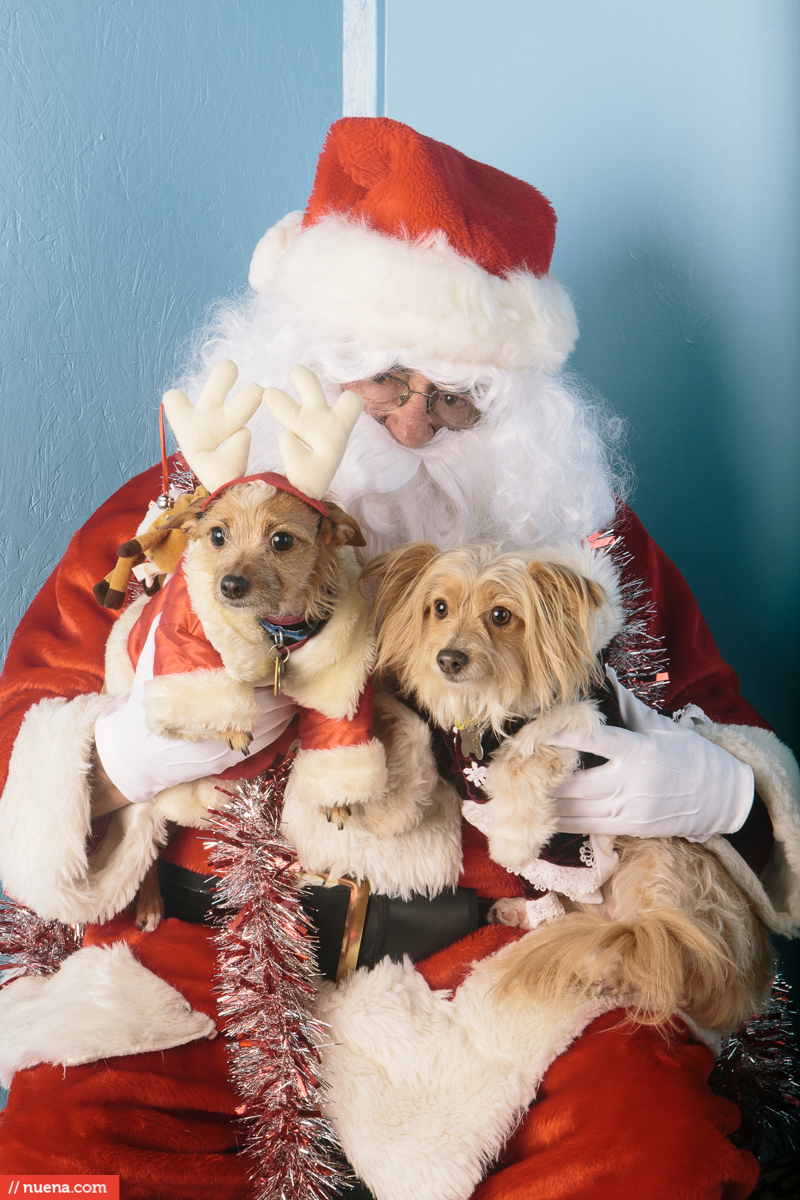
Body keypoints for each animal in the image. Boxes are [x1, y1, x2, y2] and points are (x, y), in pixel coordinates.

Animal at [367, 544, 777, 1032]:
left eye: (501, 615)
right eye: (439, 608)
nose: (448, 659)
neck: (483, 711)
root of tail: (743, 980)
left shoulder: (577, 730)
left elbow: (522, 759)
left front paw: (510, 838)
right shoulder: (444, 745)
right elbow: (413, 730)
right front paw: (387, 809)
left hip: (658, 865)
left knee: (657, 960)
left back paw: (601, 967)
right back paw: (529, 917)